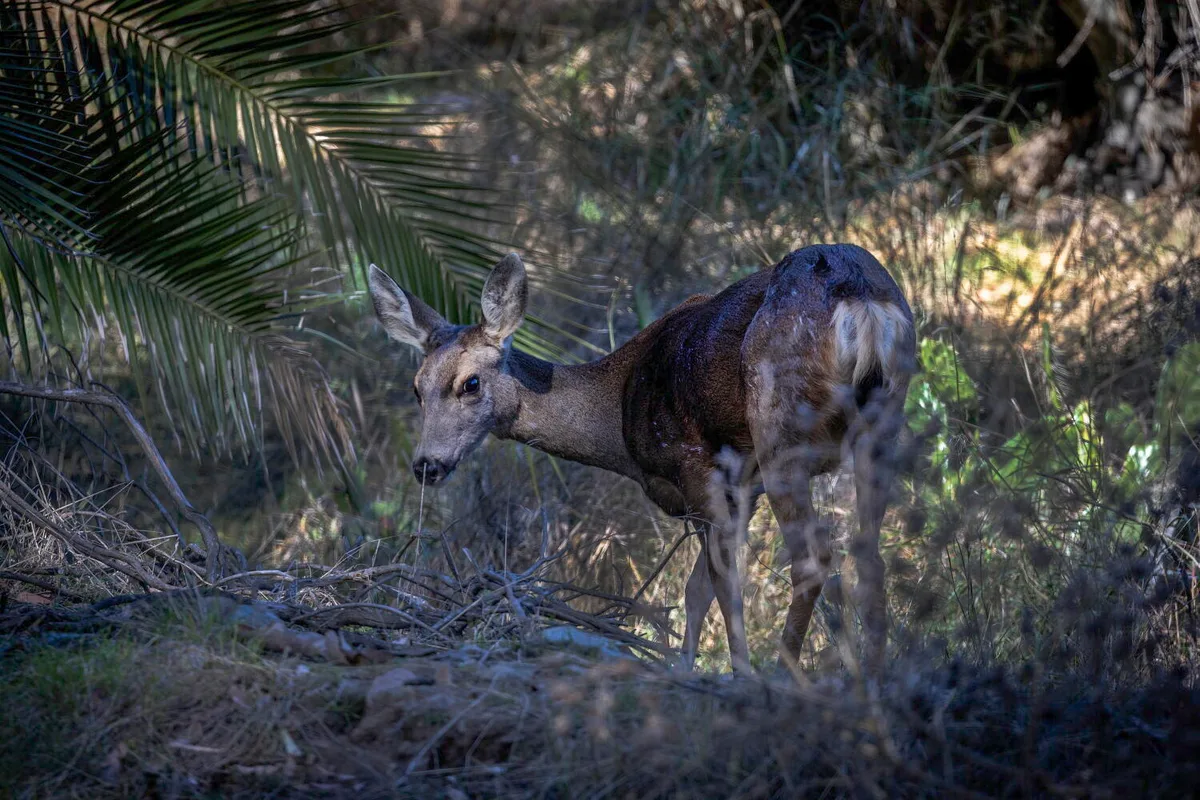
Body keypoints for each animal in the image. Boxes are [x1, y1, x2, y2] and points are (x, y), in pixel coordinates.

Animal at [367, 244, 915, 673]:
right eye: (416, 389)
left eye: (471, 383)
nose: (426, 464)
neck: (617, 414)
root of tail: (862, 299)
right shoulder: (742, 486)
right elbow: (696, 589)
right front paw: (687, 666)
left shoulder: (696, 465)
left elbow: (718, 581)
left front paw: (733, 673)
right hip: (884, 421)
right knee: (869, 551)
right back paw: (876, 676)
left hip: (780, 425)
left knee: (813, 559)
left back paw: (783, 676)